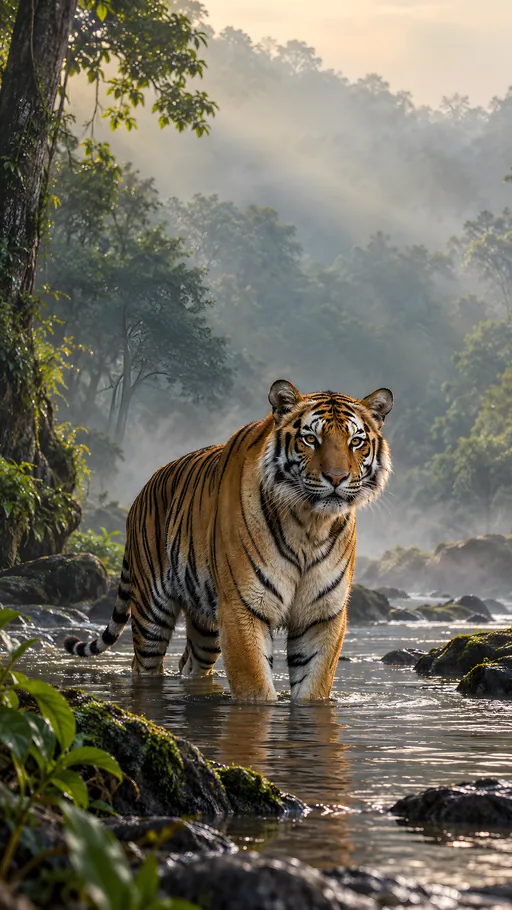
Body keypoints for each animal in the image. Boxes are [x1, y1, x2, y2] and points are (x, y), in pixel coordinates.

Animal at [65, 380, 393, 702]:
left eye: (356, 442)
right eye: (311, 439)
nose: (336, 478)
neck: (310, 525)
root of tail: (142, 491)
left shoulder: (322, 616)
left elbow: (314, 688)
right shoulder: (242, 607)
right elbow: (256, 688)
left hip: (204, 625)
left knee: (191, 663)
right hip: (151, 611)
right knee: (143, 665)